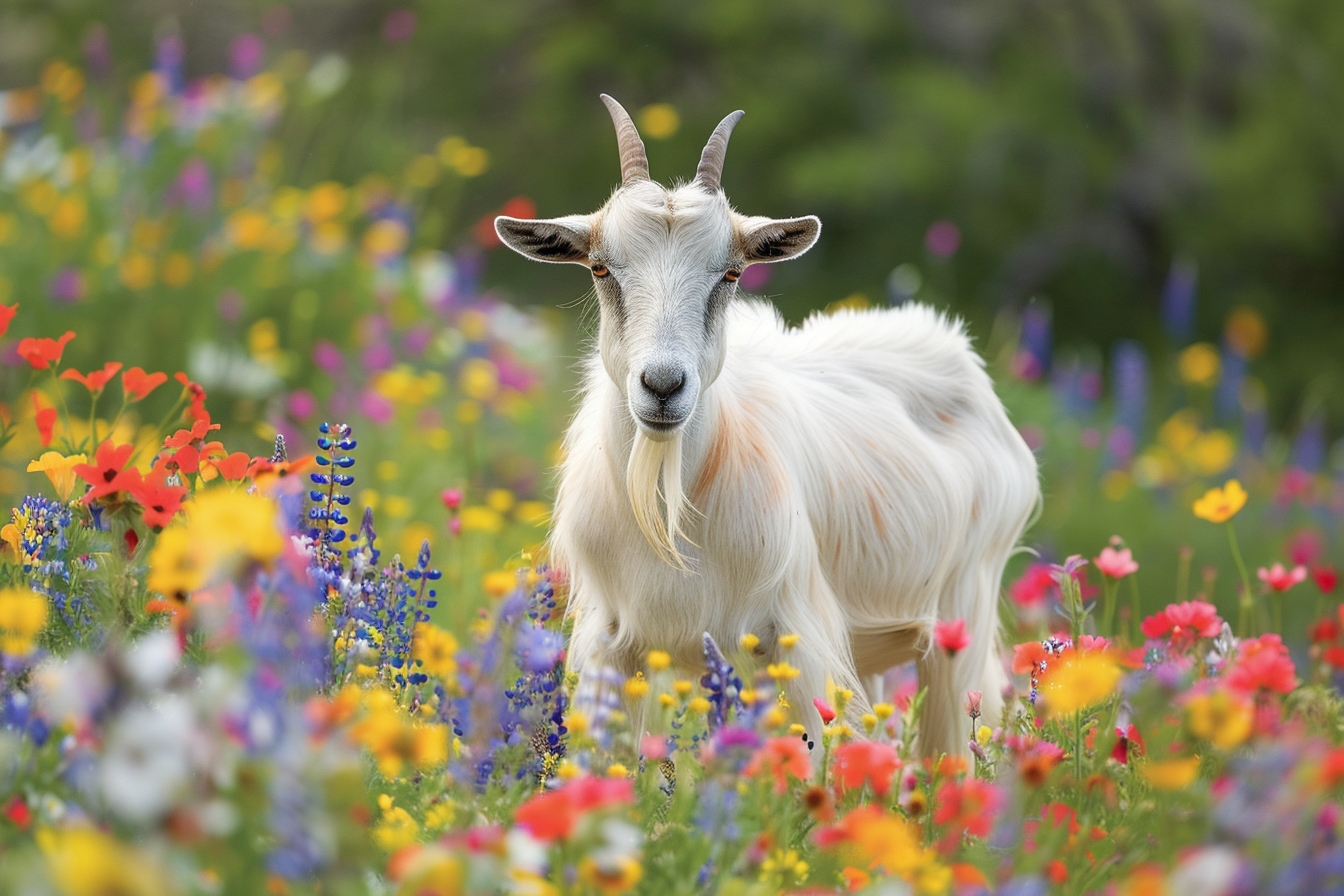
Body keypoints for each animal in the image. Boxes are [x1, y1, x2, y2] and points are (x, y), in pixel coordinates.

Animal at [495, 95, 1039, 757]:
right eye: (600, 268)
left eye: (730, 274)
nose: (663, 386)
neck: (670, 511)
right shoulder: (612, 643)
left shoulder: (795, 645)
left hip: (962, 619)